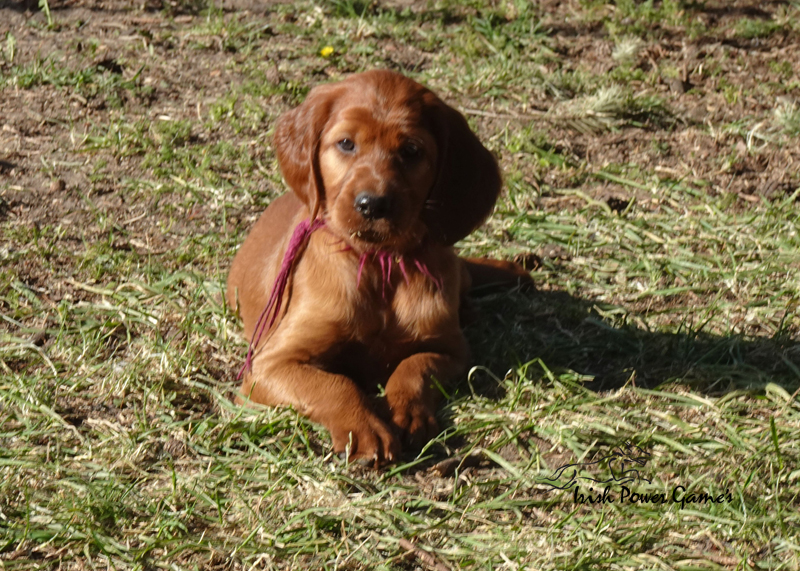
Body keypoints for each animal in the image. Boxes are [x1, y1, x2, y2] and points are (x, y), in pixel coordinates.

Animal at [227, 70, 530, 467]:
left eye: (412, 151)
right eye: (346, 144)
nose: (372, 204)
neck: (379, 263)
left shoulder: (452, 349)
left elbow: (413, 368)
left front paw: (408, 415)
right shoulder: (269, 364)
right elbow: (334, 383)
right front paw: (364, 429)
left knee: (464, 271)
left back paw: (516, 268)